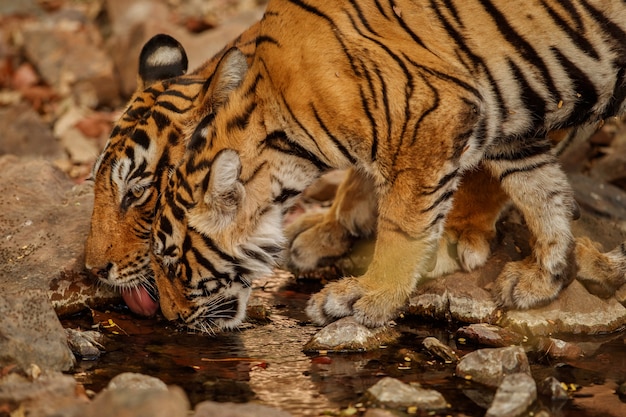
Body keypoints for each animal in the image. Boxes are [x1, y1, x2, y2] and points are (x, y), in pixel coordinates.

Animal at [150, 0, 624, 332]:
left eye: (172, 263)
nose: (170, 318)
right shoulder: (514, 126)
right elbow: (540, 190)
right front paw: (545, 276)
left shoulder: (432, 120)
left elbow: (403, 225)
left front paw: (367, 296)